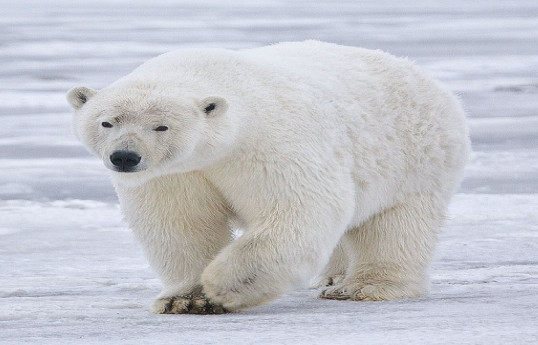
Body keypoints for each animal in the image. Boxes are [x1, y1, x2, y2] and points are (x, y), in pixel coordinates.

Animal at [68, 41, 468, 314]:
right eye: (107, 122)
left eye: (161, 126)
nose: (125, 157)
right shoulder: (176, 174)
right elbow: (181, 224)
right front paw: (184, 299)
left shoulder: (269, 143)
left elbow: (298, 209)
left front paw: (222, 286)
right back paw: (333, 277)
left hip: (415, 158)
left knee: (396, 225)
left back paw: (362, 288)